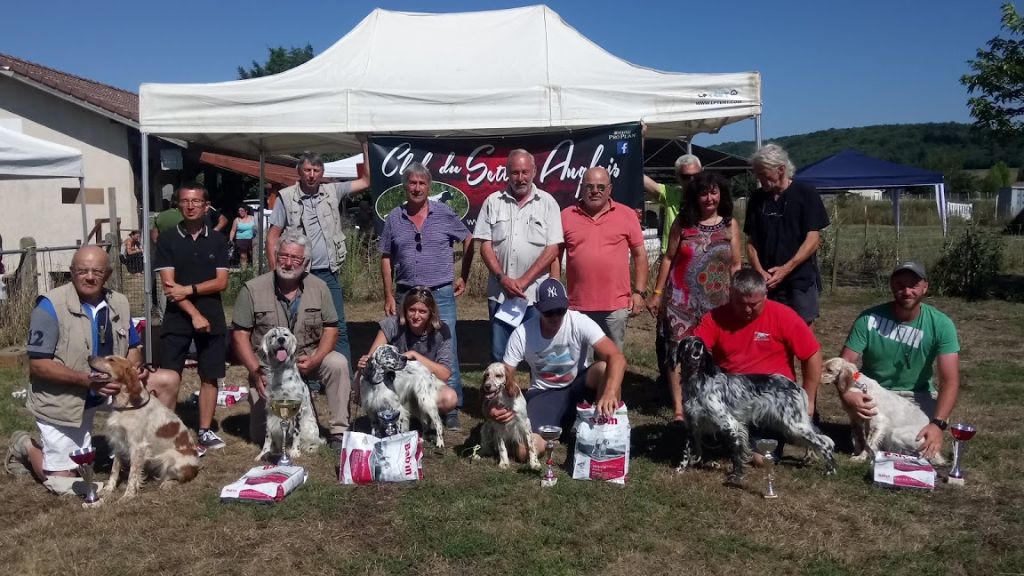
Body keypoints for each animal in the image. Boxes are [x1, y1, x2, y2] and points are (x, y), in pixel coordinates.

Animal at [89, 352, 200, 500]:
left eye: (111, 360)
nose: (89, 356)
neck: (126, 405)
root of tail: (197, 467)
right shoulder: (119, 442)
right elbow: (114, 470)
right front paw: (108, 489)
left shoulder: (138, 446)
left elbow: (132, 474)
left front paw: (128, 495)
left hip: (170, 457)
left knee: (177, 478)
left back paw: (167, 484)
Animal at [253, 325, 321, 459]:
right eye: (273, 335)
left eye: (285, 335)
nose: (281, 340)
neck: (280, 372)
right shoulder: (270, 409)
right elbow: (268, 434)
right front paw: (264, 453)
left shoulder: (297, 409)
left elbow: (296, 432)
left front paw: (295, 451)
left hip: (309, 427)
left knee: (316, 442)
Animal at [675, 334, 835, 481]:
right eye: (687, 342)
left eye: (700, 342)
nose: (697, 345)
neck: (697, 382)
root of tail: (797, 387)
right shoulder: (692, 425)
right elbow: (686, 450)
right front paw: (680, 469)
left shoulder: (731, 425)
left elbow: (737, 455)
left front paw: (735, 476)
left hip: (795, 426)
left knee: (824, 443)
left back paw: (831, 471)